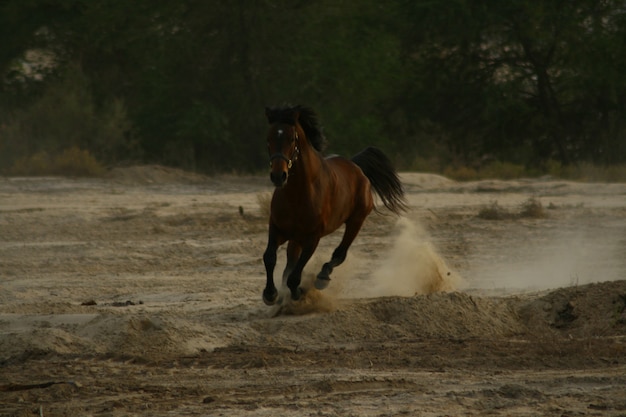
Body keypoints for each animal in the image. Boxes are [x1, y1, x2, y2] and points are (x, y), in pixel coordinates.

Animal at [260, 104, 402, 306]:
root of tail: (356, 167)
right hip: (296, 239)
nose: (278, 176)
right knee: (289, 263)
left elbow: (294, 276)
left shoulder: (312, 238)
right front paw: (270, 294)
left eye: (291, 138)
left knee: (340, 253)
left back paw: (322, 277)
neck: (298, 194)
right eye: (269, 138)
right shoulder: (278, 229)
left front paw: (296, 292)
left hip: (356, 221)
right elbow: (270, 257)